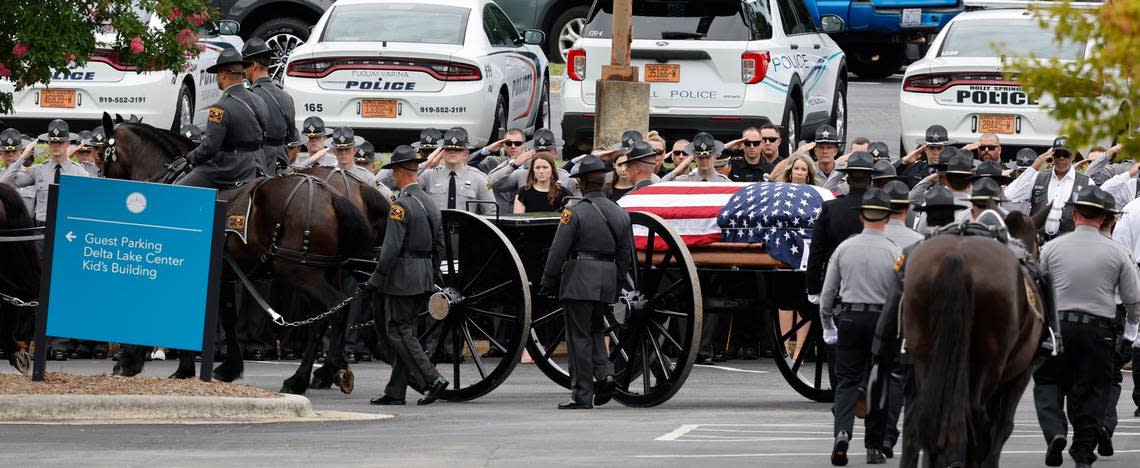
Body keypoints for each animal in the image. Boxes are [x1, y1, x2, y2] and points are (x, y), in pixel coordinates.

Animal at [100, 114, 371, 396]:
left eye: (104, 155)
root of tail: (331, 194)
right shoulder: (225, 275)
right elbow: (226, 316)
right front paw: (225, 368)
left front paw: (132, 361)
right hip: (325, 271)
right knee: (324, 317)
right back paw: (325, 372)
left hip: (301, 274)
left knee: (334, 311)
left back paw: (301, 378)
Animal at [898, 214, 1044, 466]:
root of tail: (957, 255)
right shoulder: (1021, 374)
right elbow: (1003, 425)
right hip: (989, 363)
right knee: (976, 416)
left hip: (926, 357)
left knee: (930, 412)